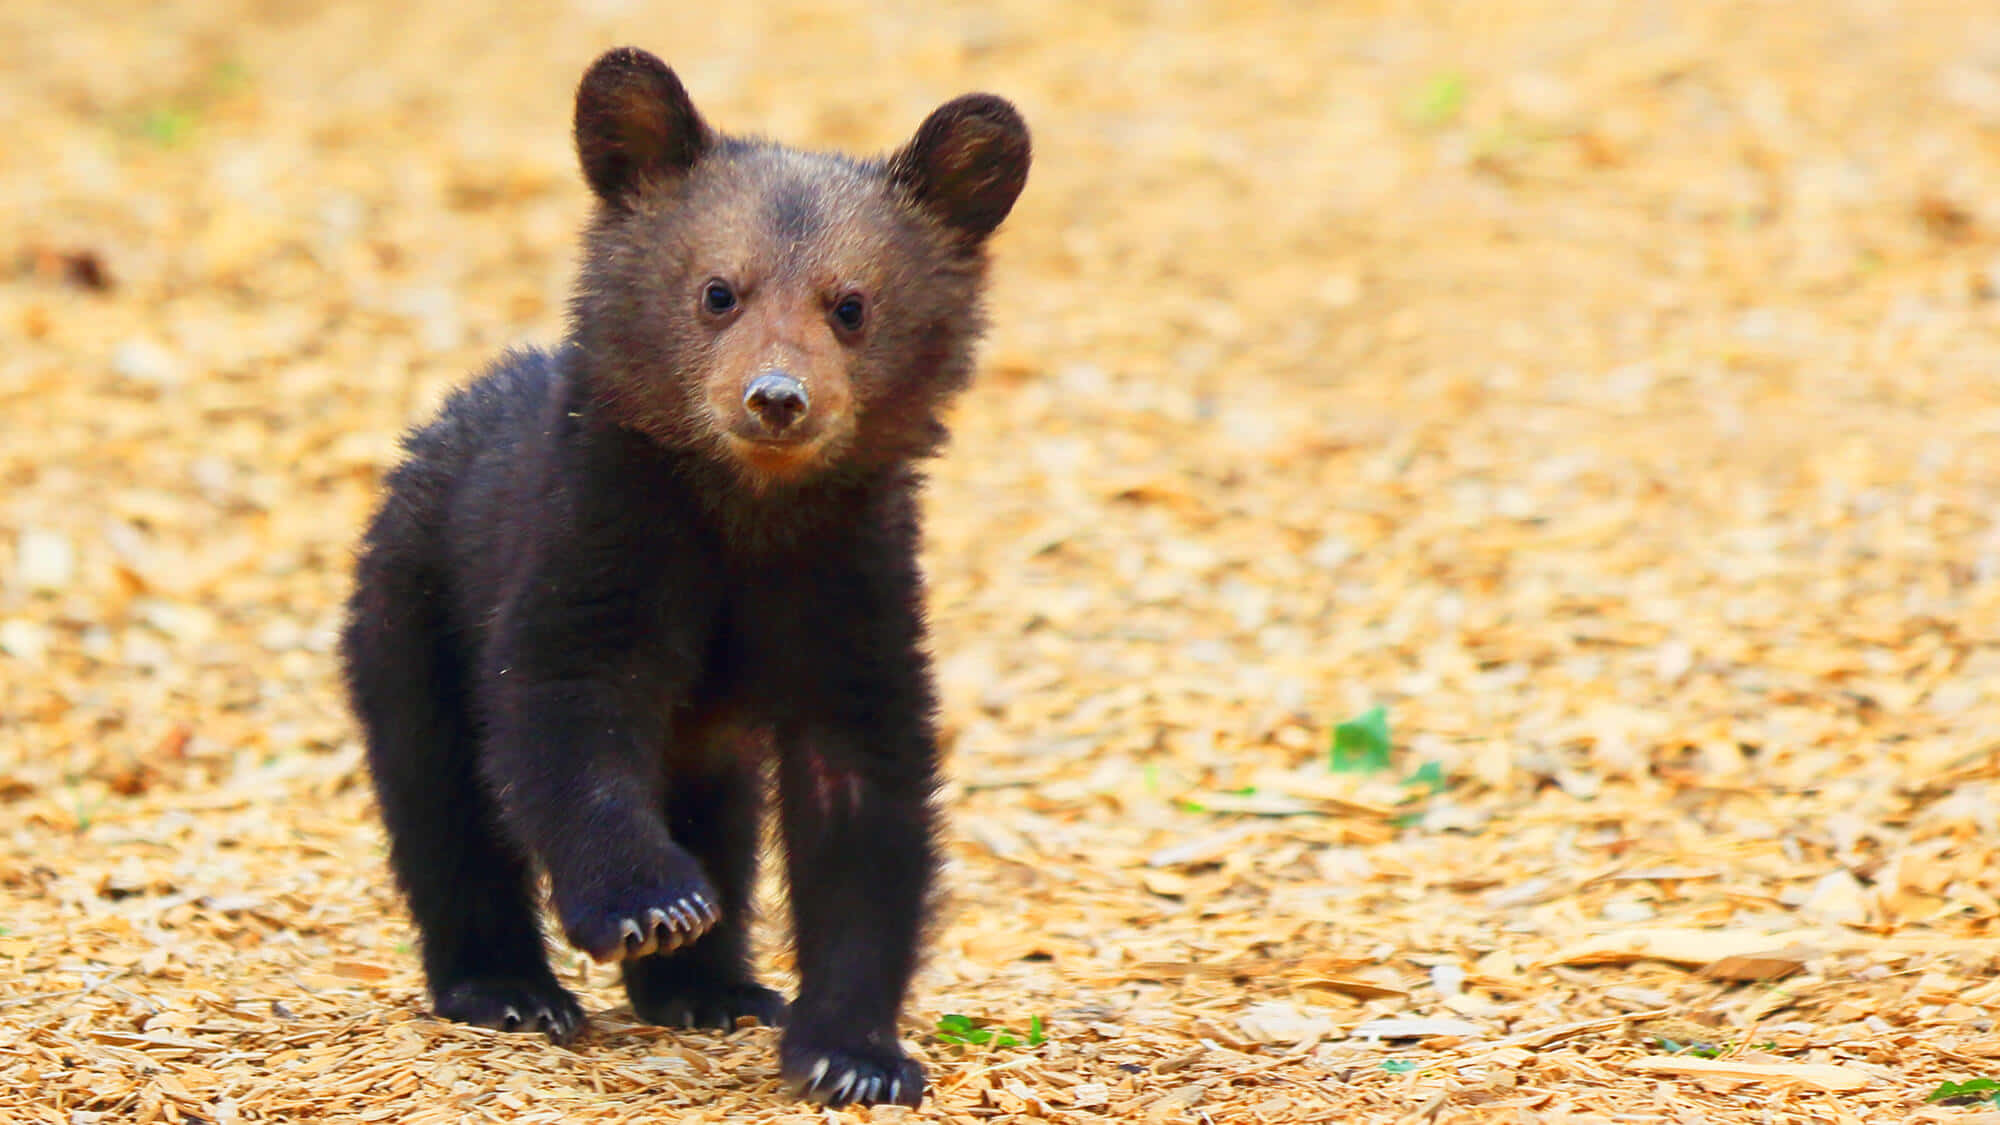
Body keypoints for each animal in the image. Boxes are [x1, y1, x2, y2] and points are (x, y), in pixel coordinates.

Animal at [338, 46, 1029, 1109]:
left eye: (850, 306)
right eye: (718, 292)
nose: (776, 398)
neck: (746, 515)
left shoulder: (848, 580)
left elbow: (863, 787)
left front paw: (854, 1051)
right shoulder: (600, 532)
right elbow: (563, 704)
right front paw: (652, 902)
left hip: (709, 739)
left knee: (721, 809)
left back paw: (714, 988)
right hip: (409, 608)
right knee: (439, 793)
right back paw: (508, 987)